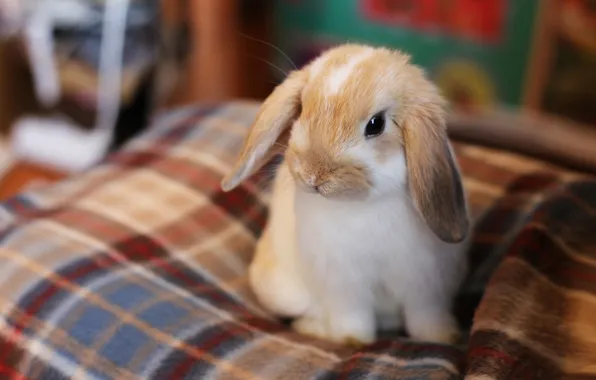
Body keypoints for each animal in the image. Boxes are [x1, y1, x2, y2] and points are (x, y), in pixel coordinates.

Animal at [221, 43, 472, 346]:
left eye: (376, 124)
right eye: (301, 108)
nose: (314, 175)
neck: (364, 205)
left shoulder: (426, 284)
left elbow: (426, 316)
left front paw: (443, 338)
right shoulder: (344, 284)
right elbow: (351, 315)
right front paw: (352, 341)